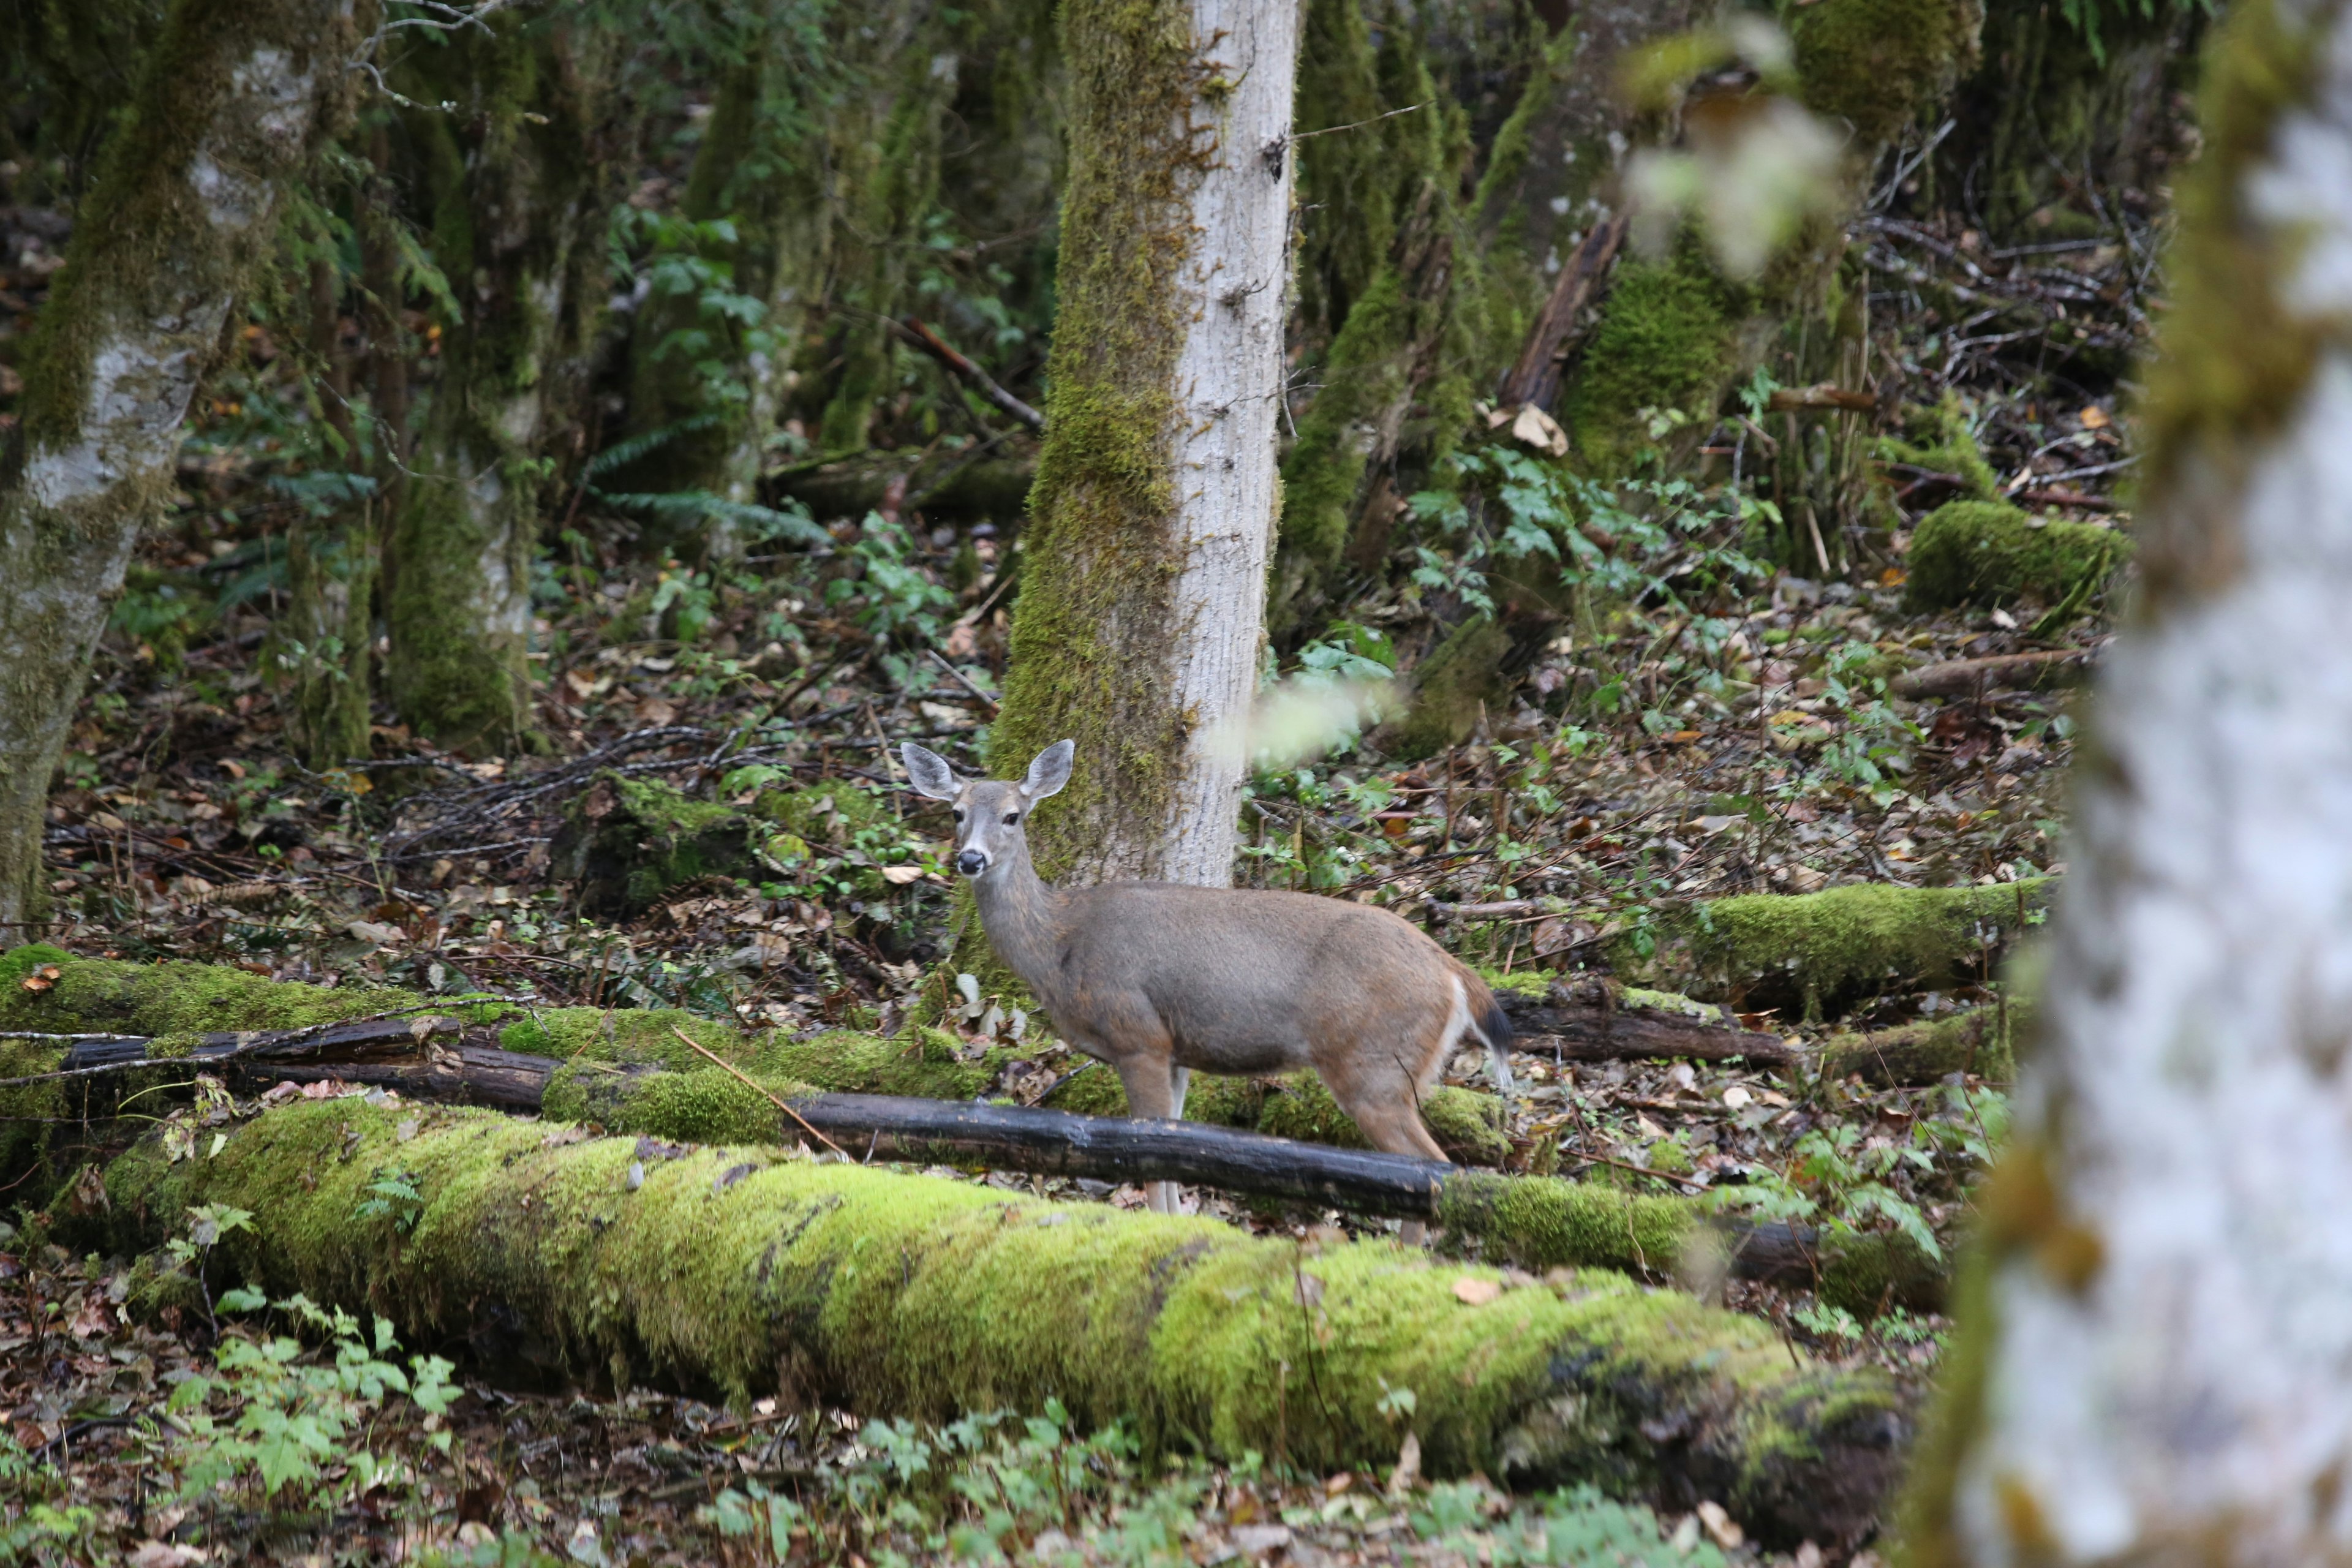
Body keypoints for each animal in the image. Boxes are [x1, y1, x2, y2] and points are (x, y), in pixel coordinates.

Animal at [901, 738, 1512, 1236]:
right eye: (956, 812)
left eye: (1012, 816)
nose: (970, 858)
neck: (1061, 947)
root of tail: (1454, 973)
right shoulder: (1176, 1052)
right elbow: (1174, 1153)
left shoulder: (1139, 1036)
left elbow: (1149, 1157)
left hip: (1374, 1063)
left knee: (1433, 1164)